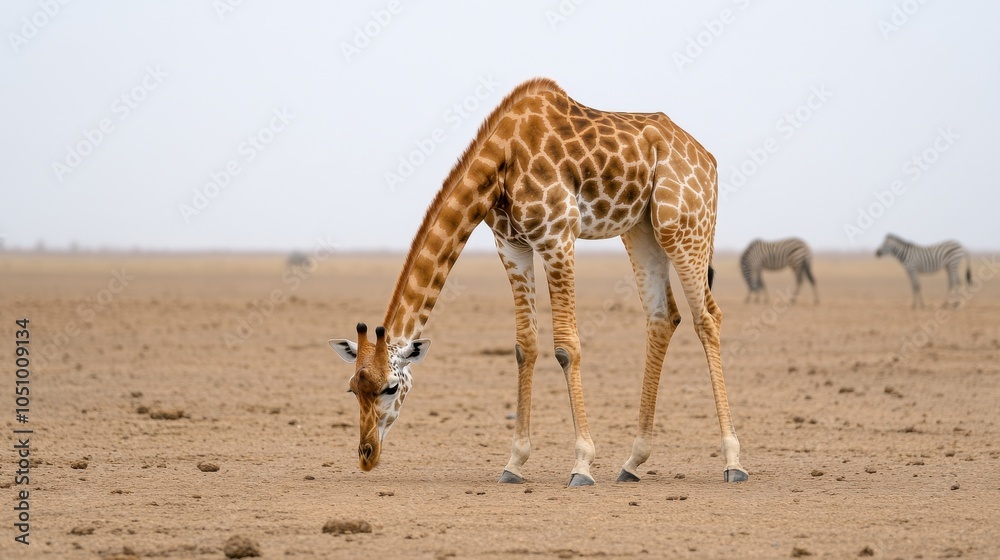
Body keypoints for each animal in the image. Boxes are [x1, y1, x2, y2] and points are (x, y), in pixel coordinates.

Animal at [329, 78, 748, 486]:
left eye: (392, 387)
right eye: (352, 388)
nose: (366, 455)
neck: (502, 159)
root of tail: (708, 159)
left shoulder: (557, 236)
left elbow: (566, 346)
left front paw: (582, 465)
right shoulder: (511, 245)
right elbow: (524, 346)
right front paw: (514, 463)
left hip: (682, 226)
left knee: (707, 317)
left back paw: (733, 461)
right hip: (641, 230)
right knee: (663, 317)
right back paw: (633, 462)